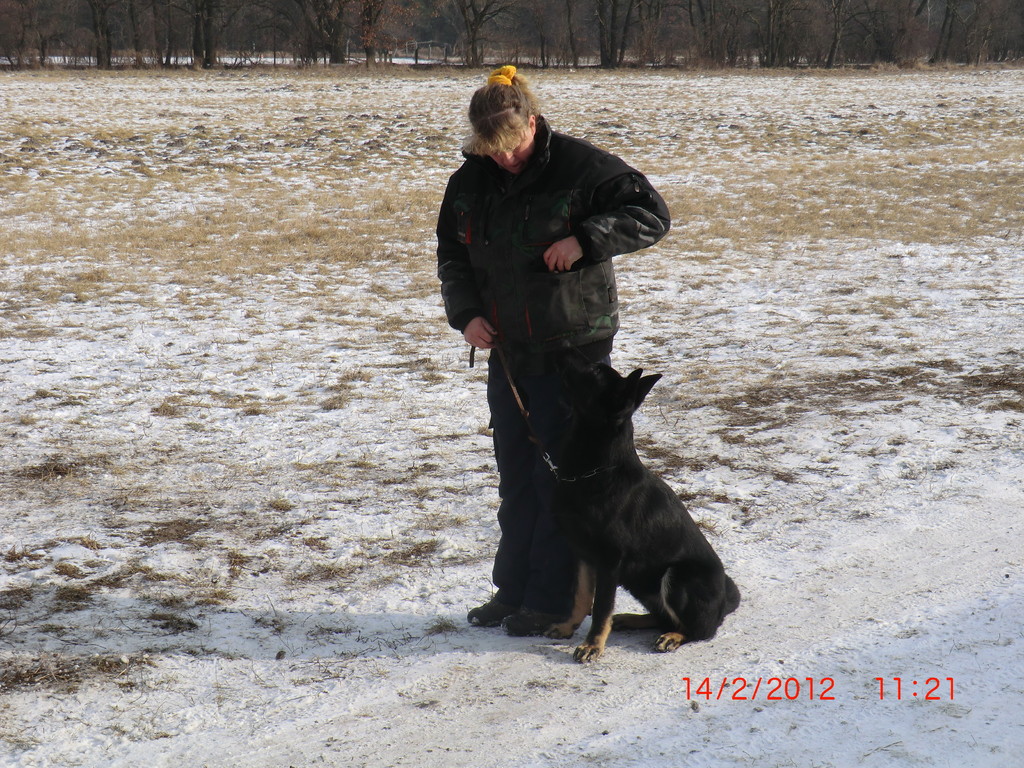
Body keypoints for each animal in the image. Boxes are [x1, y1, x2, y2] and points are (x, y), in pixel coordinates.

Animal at [548, 358, 741, 663]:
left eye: (596, 371)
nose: (563, 353)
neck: (596, 470)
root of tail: (725, 601)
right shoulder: (582, 553)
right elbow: (581, 596)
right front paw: (568, 627)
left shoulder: (609, 560)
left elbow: (601, 608)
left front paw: (592, 645)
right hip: (641, 583)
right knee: (663, 617)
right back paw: (631, 619)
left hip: (677, 577)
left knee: (700, 630)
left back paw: (673, 637)